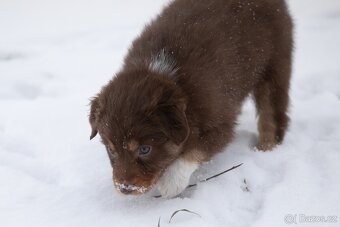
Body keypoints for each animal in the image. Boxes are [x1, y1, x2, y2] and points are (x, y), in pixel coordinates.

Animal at [89, 0, 294, 199]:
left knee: (272, 114)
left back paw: (266, 149)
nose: (125, 187)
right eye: (111, 150)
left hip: (275, 61)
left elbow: (196, 150)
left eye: (145, 149)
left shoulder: (220, 123)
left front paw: (171, 183)